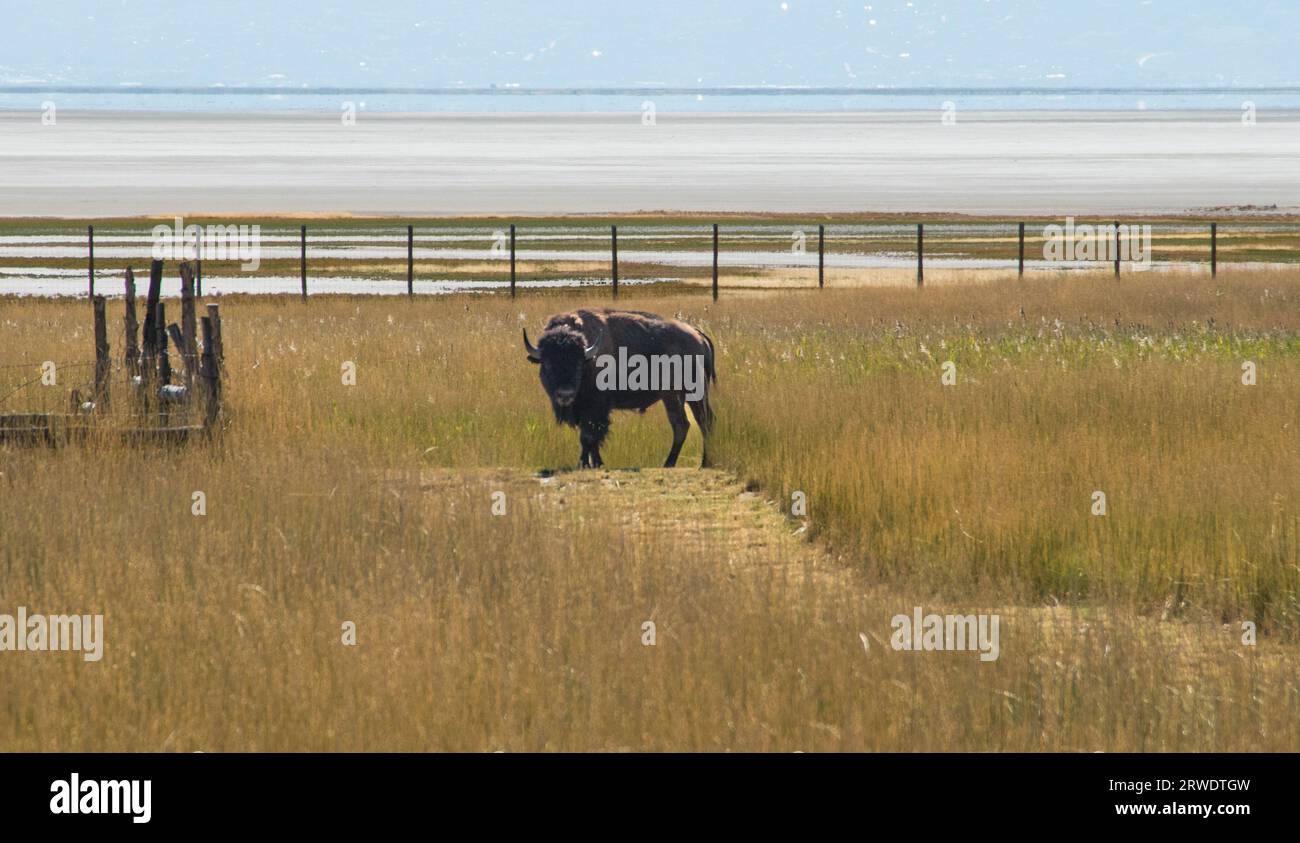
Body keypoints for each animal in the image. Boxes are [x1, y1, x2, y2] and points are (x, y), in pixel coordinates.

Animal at [522, 308, 717, 470]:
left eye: (578, 364)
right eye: (547, 364)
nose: (565, 395)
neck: (588, 357)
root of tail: (698, 336)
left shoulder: (596, 408)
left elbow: (589, 436)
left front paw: (587, 463)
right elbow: (591, 438)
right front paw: (595, 463)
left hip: (685, 395)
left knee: (695, 423)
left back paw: (691, 463)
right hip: (680, 397)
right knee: (689, 424)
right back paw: (685, 463)